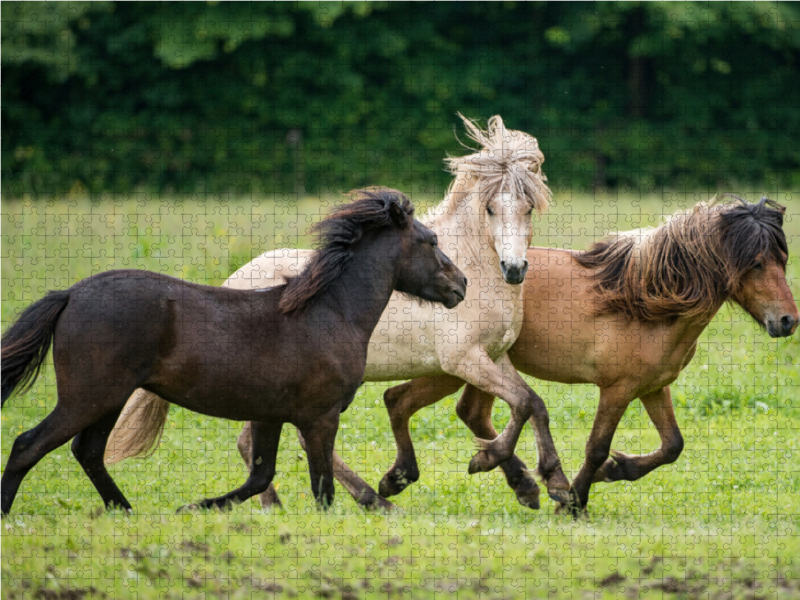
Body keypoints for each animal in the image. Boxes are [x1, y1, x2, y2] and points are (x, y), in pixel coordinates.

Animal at [0, 189, 466, 516]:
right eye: (431, 241)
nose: (461, 285)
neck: (332, 312)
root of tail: (70, 295)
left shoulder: (270, 414)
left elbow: (260, 476)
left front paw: (193, 507)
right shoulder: (321, 417)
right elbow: (322, 489)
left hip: (108, 399)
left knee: (88, 452)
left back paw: (126, 512)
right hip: (88, 396)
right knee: (28, 444)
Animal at [106, 113, 572, 506]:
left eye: (528, 208)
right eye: (491, 208)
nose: (514, 269)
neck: (475, 266)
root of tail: (230, 281)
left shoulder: (493, 356)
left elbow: (532, 404)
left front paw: (548, 484)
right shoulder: (464, 359)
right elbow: (522, 403)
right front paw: (492, 466)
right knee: (269, 441)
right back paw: (350, 499)